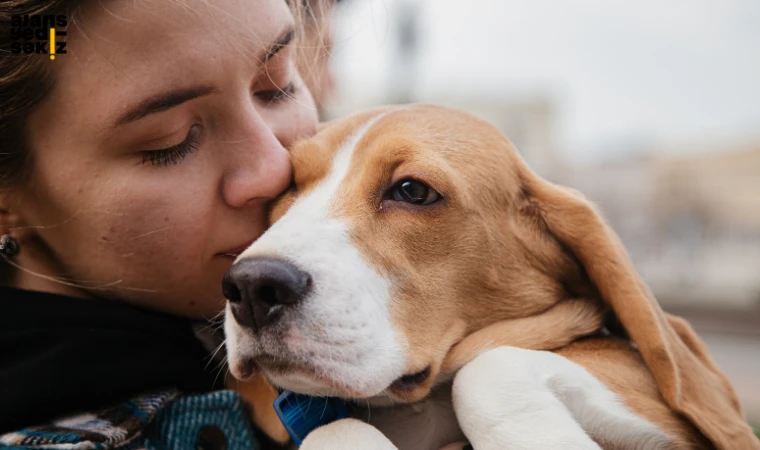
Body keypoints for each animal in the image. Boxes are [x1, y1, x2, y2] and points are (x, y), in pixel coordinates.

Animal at [223, 105, 756, 450]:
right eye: (291, 185)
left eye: (413, 190)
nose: (251, 286)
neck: (420, 409)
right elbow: (331, 430)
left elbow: (486, 369)